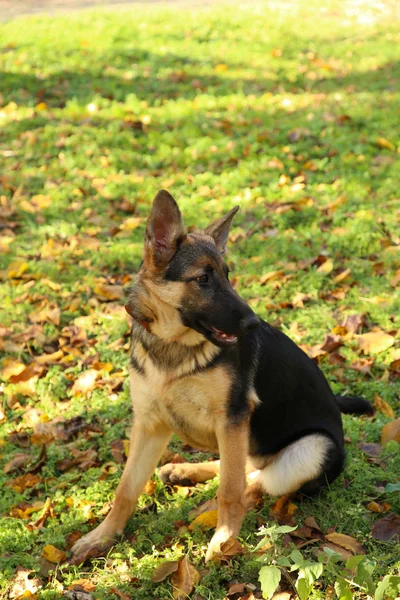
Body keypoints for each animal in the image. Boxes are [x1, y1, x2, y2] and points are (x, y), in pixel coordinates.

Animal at [72, 191, 372, 564]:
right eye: (203, 279)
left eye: (228, 276)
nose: (253, 324)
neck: (174, 347)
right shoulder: (150, 424)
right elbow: (126, 489)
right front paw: (101, 537)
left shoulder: (232, 419)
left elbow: (230, 489)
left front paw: (224, 540)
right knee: (245, 468)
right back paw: (183, 472)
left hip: (314, 449)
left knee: (255, 479)